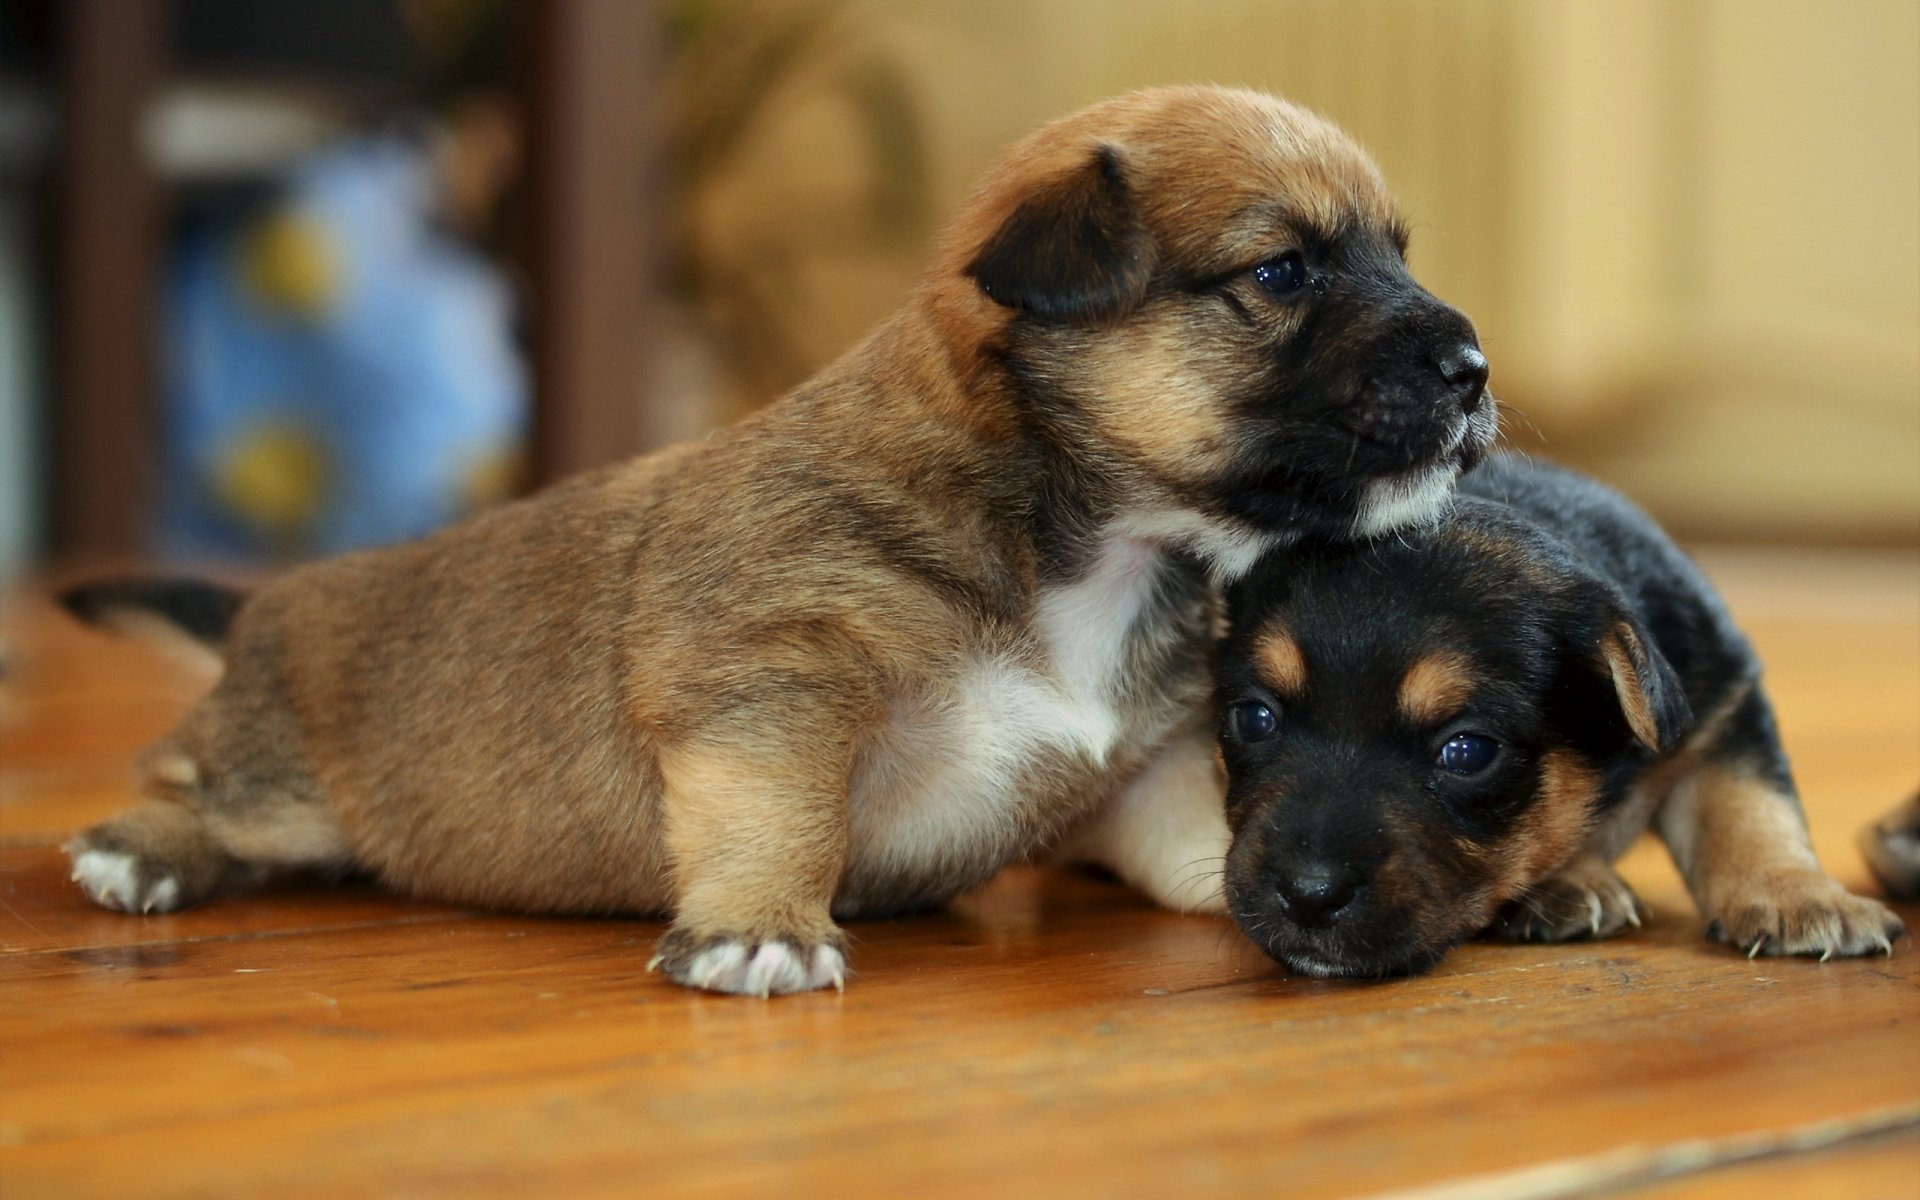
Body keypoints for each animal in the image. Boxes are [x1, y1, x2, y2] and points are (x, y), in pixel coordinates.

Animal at [60, 86, 1497, 990]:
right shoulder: (771, 693)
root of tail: (264, 611)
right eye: (1282, 273)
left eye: (1396, 254)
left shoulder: (1147, 780)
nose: (1476, 368)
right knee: (187, 777)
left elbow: (1223, 839)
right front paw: (758, 929)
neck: (1086, 542)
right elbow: (782, 819)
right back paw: (143, 849)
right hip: (280, 780)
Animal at [1213, 451, 1904, 975]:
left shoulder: (1724, 703)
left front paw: (1800, 897)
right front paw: (1571, 881)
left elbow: (1749, 804)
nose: (1309, 895)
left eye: (1469, 752)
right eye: (1254, 719)